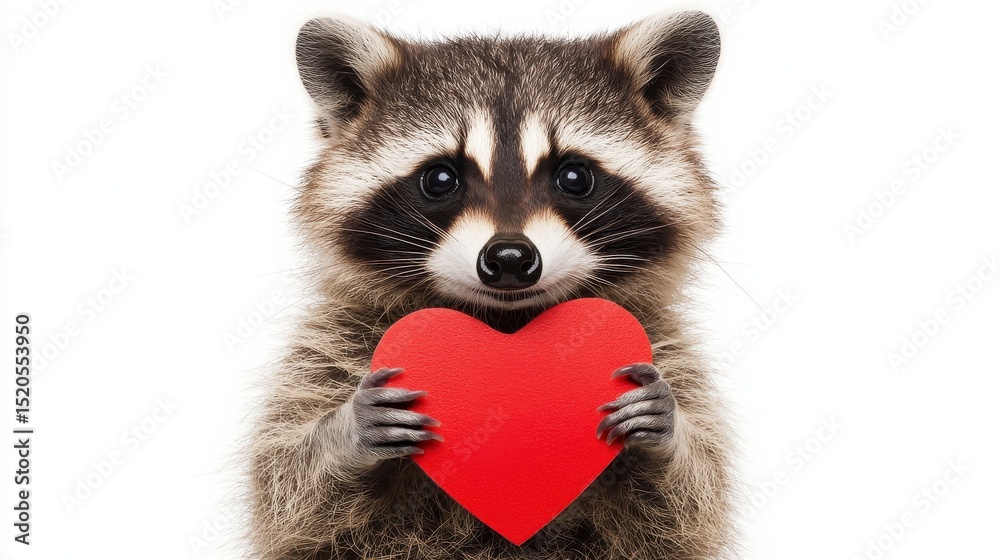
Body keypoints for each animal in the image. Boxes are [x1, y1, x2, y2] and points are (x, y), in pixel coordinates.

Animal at [244, 10, 735, 560]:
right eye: (440, 179)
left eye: (574, 178)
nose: (510, 258)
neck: (505, 317)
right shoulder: (330, 343)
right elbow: (286, 489)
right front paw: (342, 432)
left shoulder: (665, 345)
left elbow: (690, 503)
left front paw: (667, 437)